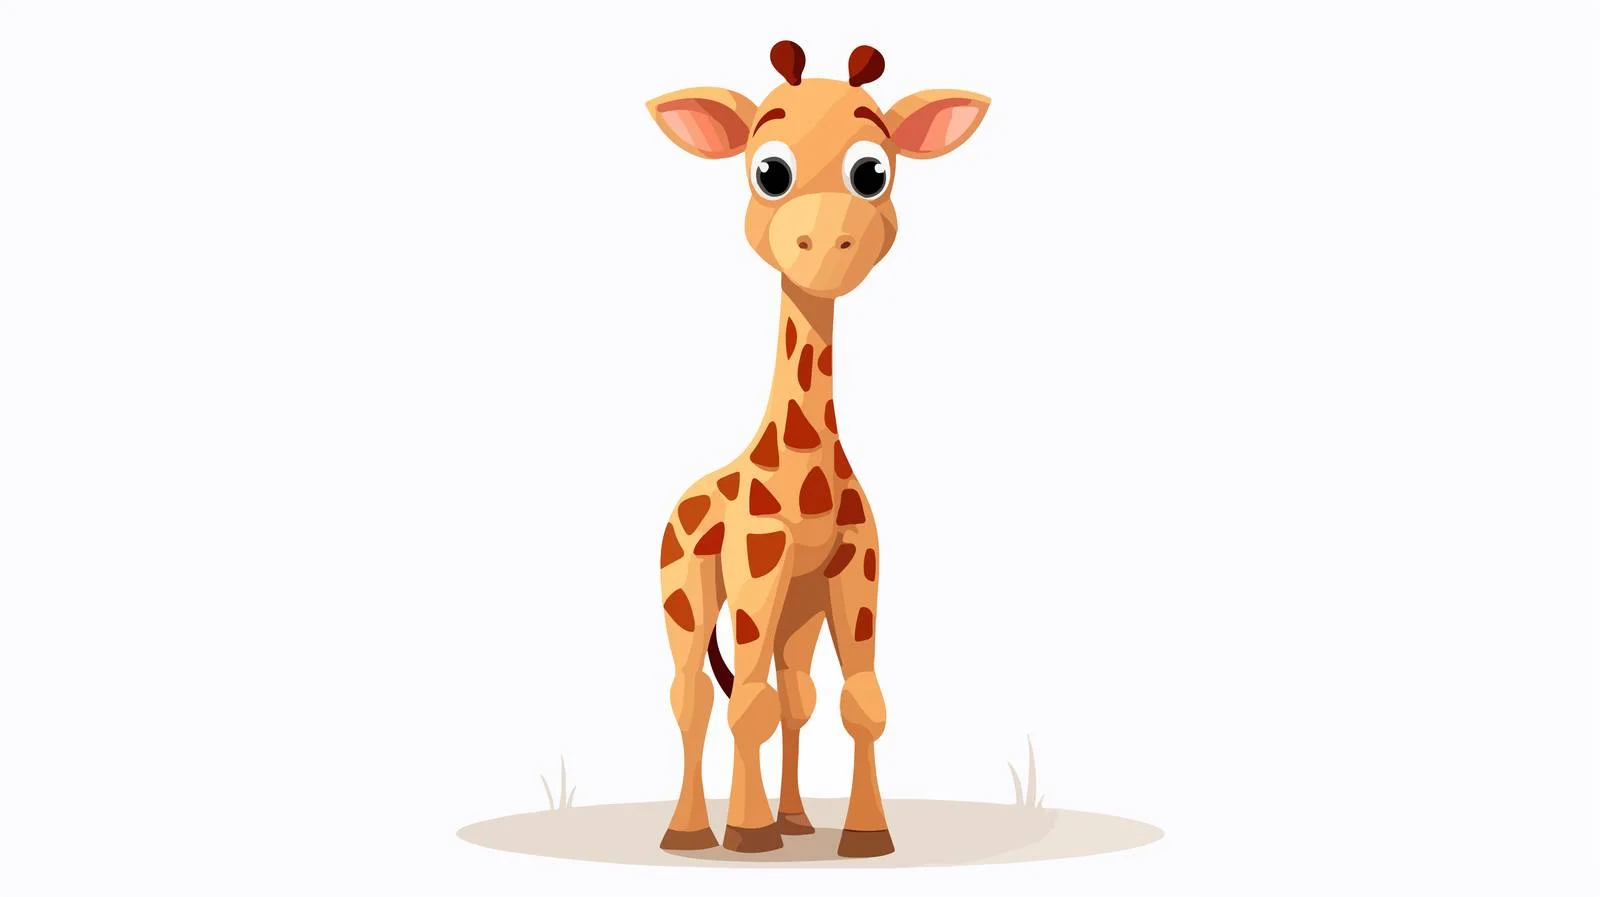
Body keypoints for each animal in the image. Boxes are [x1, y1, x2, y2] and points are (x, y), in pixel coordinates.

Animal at [645, 41, 988, 858]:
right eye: (769, 171)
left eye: (873, 171)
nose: (830, 245)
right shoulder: (757, 567)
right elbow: (746, 704)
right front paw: (746, 834)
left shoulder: (852, 571)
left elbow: (859, 700)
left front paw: (865, 833)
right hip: (685, 593)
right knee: (694, 693)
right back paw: (690, 831)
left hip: (794, 614)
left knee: (792, 691)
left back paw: (795, 817)